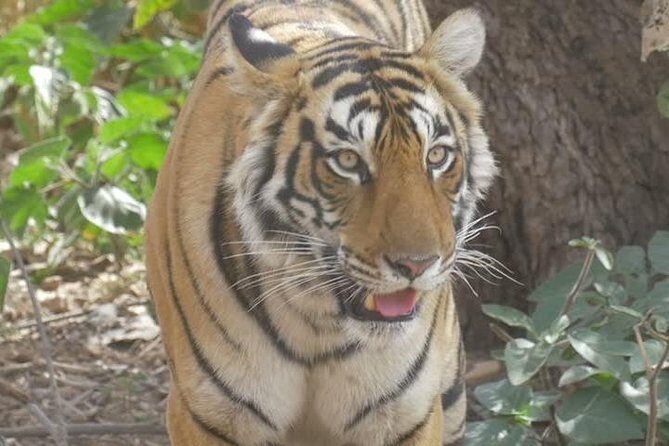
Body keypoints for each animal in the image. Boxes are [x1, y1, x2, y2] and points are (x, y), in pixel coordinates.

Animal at [145, 0, 496, 444]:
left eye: (436, 156)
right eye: (347, 160)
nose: (417, 265)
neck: (316, 323)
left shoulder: (406, 415)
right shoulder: (208, 412)